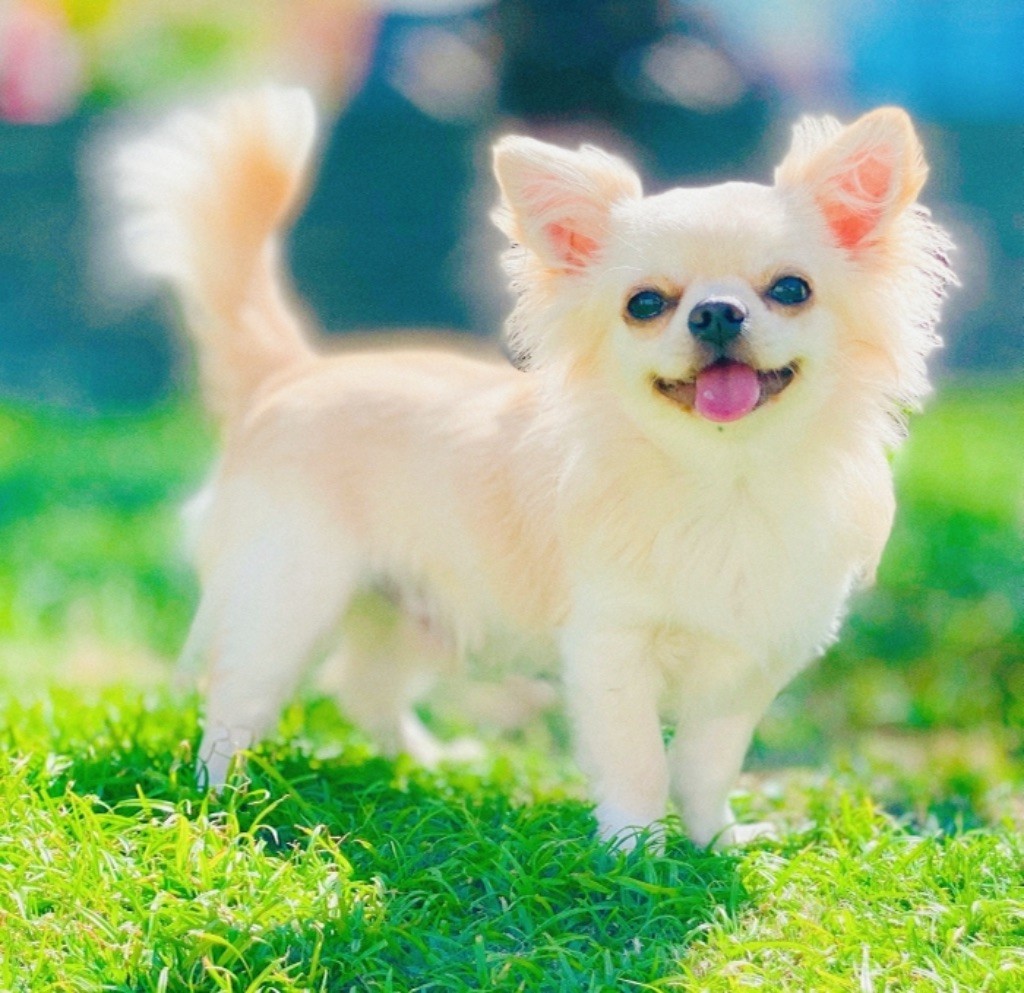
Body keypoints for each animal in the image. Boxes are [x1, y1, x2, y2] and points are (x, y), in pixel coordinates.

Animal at [116, 86, 953, 847]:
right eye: (645, 304)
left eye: (790, 289)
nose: (715, 312)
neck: (728, 481)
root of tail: (292, 372)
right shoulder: (610, 649)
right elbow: (639, 762)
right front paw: (634, 856)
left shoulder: (745, 665)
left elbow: (706, 764)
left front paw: (714, 842)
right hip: (288, 596)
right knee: (236, 700)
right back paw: (223, 804)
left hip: (413, 609)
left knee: (363, 689)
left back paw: (425, 766)